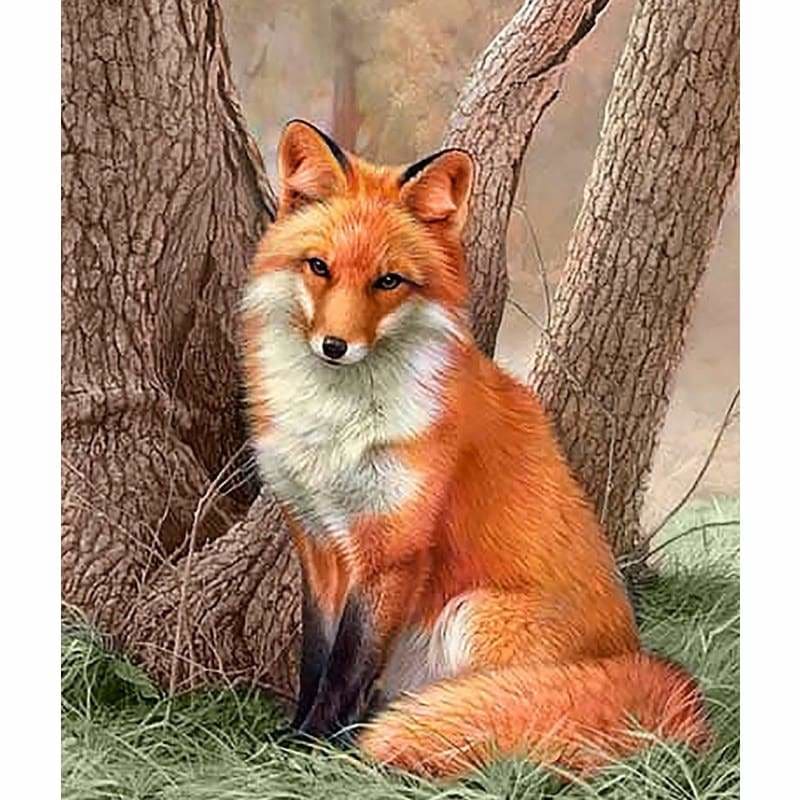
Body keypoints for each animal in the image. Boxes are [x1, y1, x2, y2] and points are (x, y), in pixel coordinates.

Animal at [241, 119, 711, 779]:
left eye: (388, 281)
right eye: (319, 267)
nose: (334, 346)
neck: (337, 430)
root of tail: (636, 660)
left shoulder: (392, 549)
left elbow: (348, 666)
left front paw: (314, 746)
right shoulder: (317, 542)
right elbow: (317, 659)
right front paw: (295, 732)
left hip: (473, 615)